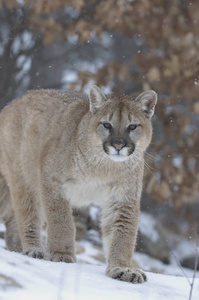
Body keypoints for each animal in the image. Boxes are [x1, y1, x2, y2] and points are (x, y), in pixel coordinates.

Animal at [0, 85, 157, 284]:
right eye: (107, 125)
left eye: (132, 126)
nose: (118, 145)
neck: (104, 167)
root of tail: (11, 103)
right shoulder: (52, 180)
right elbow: (61, 220)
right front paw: (61, 254)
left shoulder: (123, 199)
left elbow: (123, 235)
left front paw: (123, 268)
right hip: (25, 179)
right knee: (27, 215)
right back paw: (34, 250)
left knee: (13, 219)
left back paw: (20, 249)